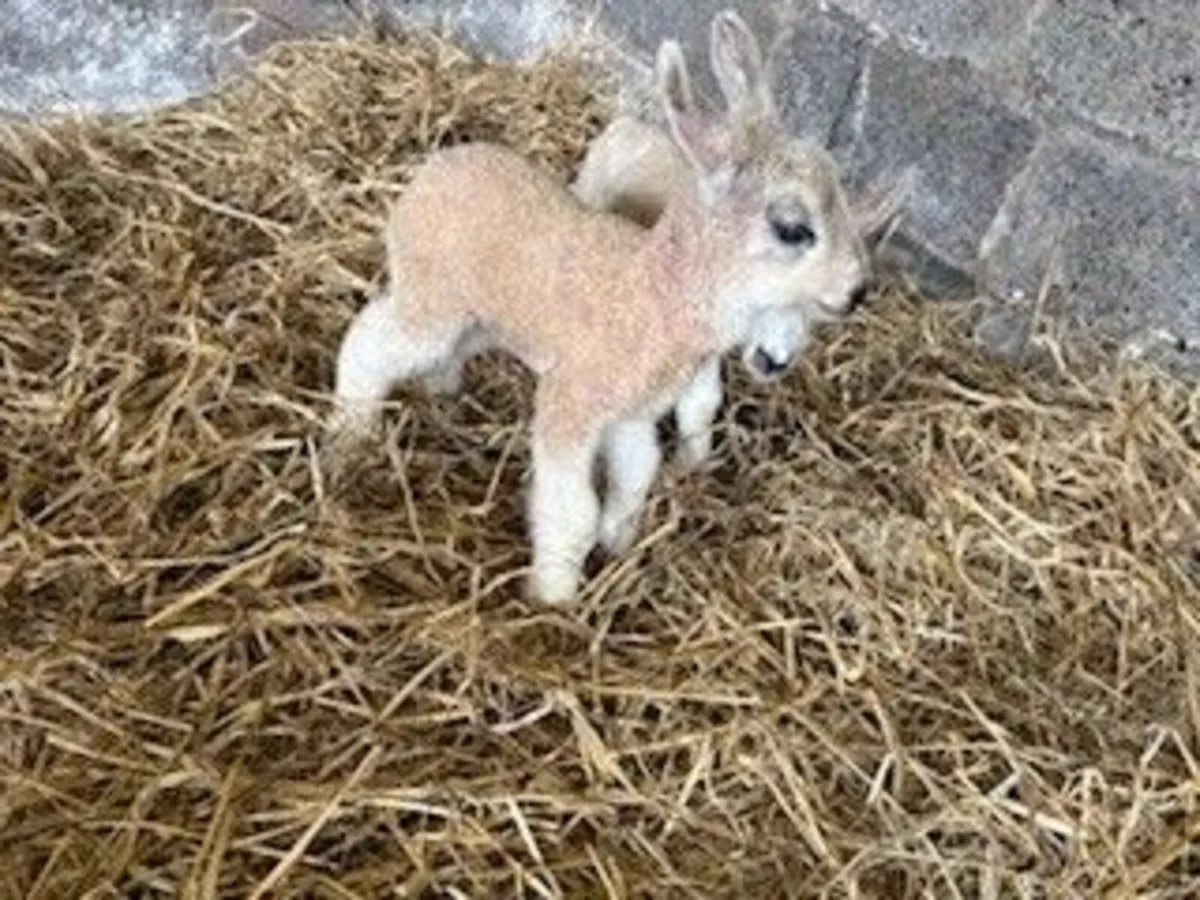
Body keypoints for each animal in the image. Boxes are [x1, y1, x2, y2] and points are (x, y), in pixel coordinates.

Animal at [326, 9, 905, 605]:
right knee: (370, 344)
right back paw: (348, 438)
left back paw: (443, 398)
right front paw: (554, 598)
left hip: (481, 313)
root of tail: (435, 167)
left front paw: (618, 545)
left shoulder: (630, 413)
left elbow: (637, 474)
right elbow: (571, 511)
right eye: (793, 228)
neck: (651, 295)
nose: (858, 291)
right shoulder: (572, 402)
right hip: (432, 295)